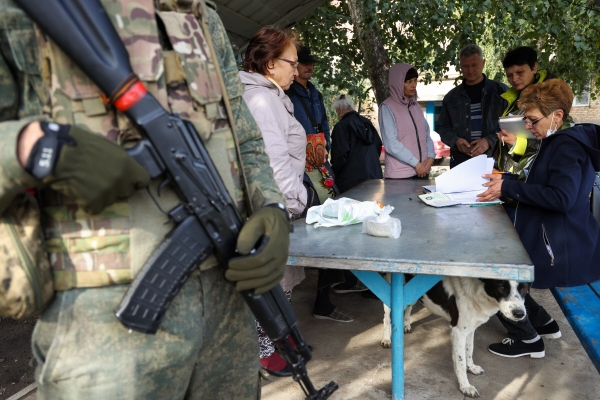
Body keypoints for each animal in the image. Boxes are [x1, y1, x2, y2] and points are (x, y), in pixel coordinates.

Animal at [382, 274, 528, 398]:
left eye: (524, 288)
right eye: (501, 287)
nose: (519, 314)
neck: (478, 291)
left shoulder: (470, 329)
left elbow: (470, 350)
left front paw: (472, 367)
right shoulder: (459, 331)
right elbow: (460, 362)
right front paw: (465, 387)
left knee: (408, 307)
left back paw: (406, 324)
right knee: (387, 317)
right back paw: (386, 339)